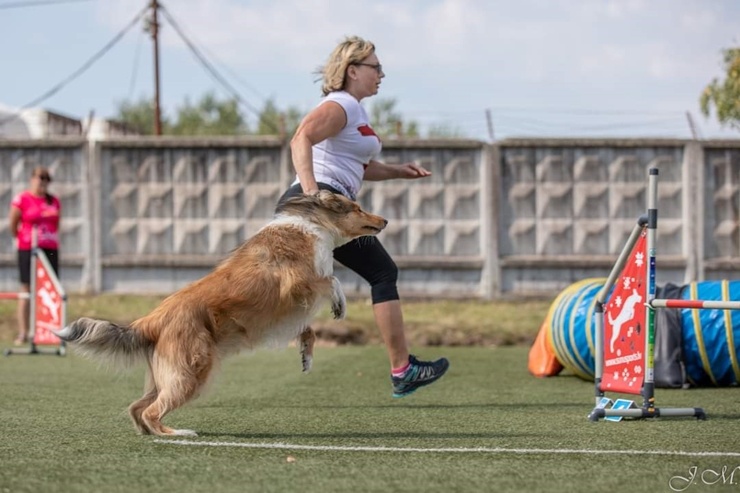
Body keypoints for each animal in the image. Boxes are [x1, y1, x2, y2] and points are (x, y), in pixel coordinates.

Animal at [54, 190, 388, 436]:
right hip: (192, 371)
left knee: (137, 407)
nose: (384, 220)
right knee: (150, 411)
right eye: (357, 208)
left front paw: (307, 356)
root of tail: (150, 320)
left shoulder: (288, 311)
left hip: (169, 375)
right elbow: (331, 280)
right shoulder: (297, 283)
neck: (312, 223)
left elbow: (308, 328)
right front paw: (339, 304)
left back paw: (150, 433)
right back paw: (177, 434)